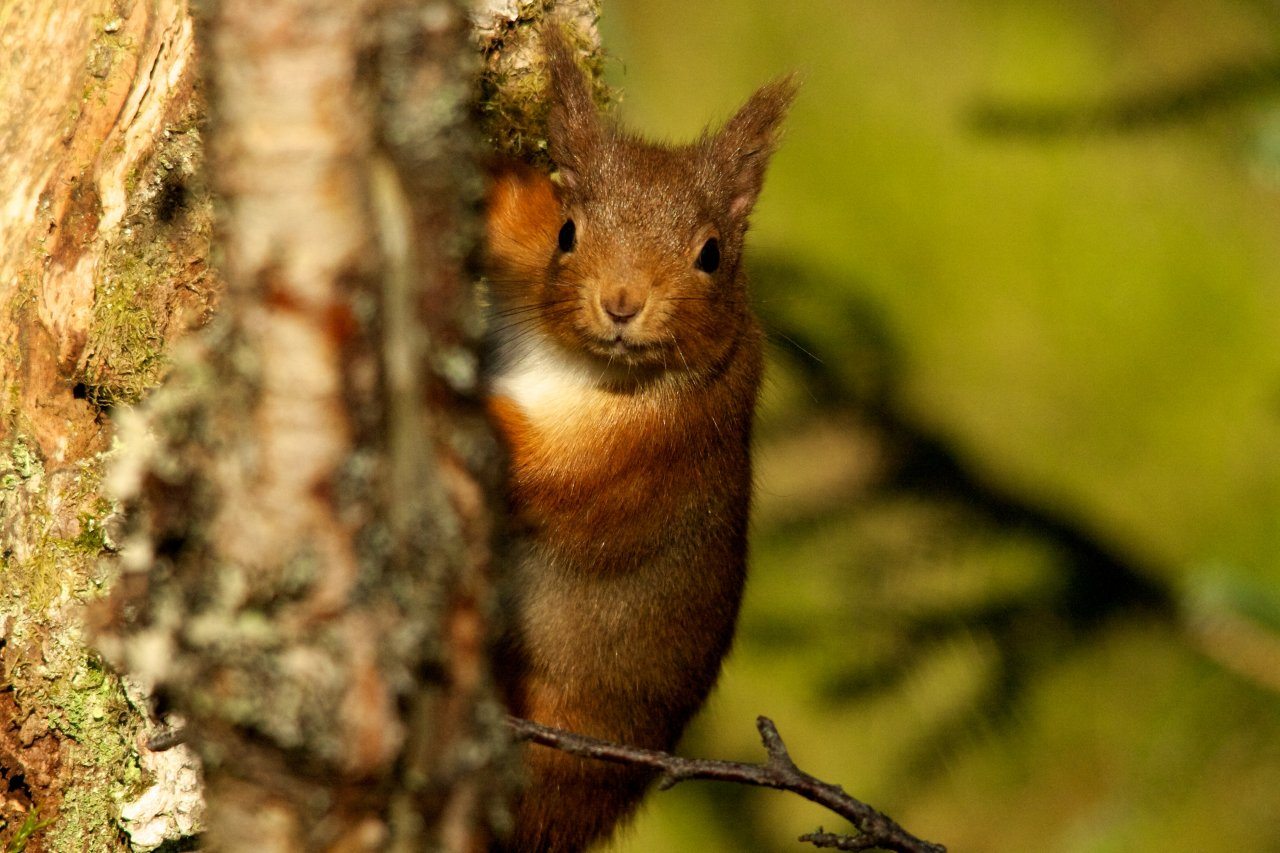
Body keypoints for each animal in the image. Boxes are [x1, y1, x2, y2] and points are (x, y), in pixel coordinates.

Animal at [483, 29, 793, 845]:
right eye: (569, 234)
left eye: (711, 254)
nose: (621, 303)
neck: (582, 359)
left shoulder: (639, 457)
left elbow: (539, 468)